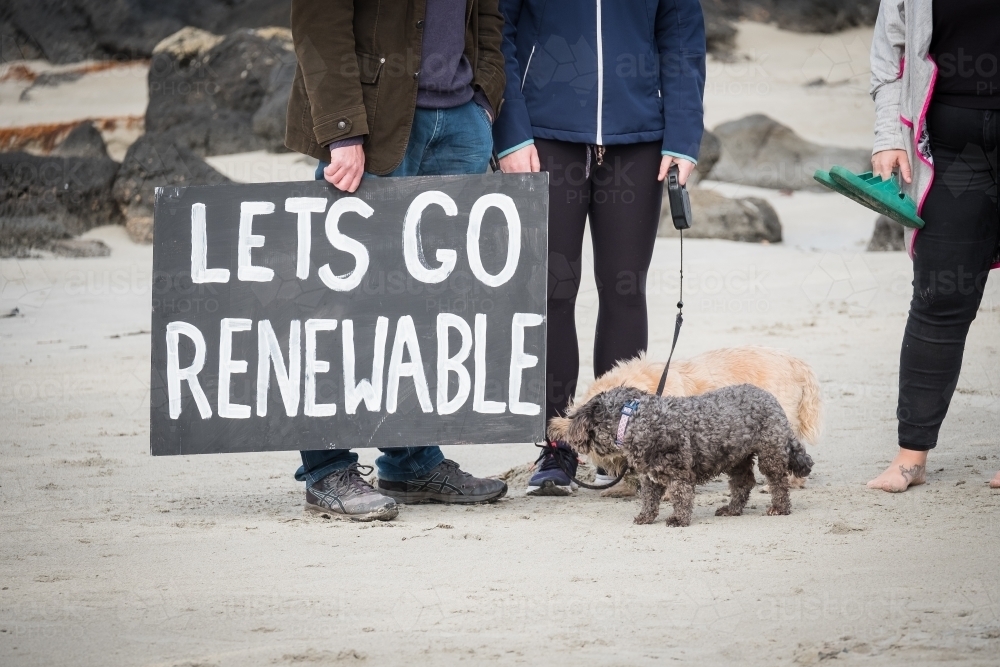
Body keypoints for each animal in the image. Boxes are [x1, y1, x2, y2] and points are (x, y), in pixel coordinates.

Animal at [552, 386, 816, 528]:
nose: (566, 429)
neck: (635, 418)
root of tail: (772, 400)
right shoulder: (650, 476)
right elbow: (649, 500)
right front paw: (646, 517)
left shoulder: (678, 473)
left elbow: (681, 497)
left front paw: (678, 519)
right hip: (736, 458)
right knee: (743, 483)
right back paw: (731, 509)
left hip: (770, 454)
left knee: (778, 483)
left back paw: (779, 508)